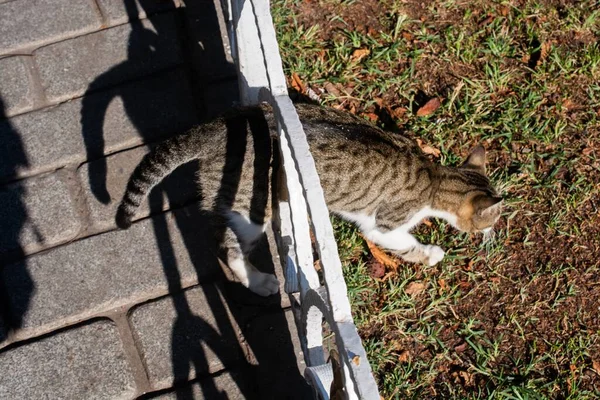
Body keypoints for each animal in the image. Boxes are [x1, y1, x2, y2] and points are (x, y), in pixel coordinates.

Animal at [115, 103, 500, 296]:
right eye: (495, 217)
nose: (496, 232)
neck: (436, 179)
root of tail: (221, 128)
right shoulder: (385, 225)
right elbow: (404, 243)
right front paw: (431, 254)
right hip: (251, 209)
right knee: (229, 248)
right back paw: (258, 282)